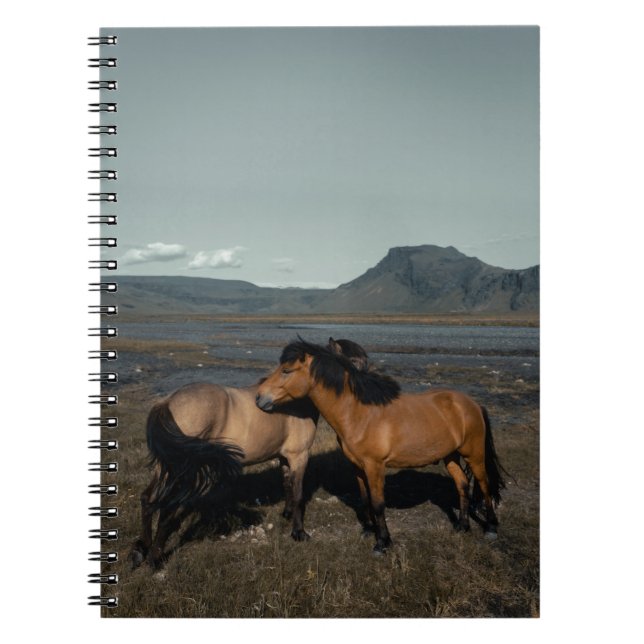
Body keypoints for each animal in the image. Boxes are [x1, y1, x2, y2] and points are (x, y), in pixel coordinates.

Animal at [130, 338, 369, 569]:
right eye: (355, 363)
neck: (296, 403)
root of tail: (168, 402)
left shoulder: (284, 457)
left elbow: (287, 486)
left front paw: (287, 514)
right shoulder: (299, 456)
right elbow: (298, 493)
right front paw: (299, 532)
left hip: (167, 467)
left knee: (148, 500)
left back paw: (141, 550)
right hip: (186, 472)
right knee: (166, 510)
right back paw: (155, 558)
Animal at [256, 339, 507, 554]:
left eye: (286, 370)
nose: (259, 397)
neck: (359, 413)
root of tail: (472, 404)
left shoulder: (375, 466)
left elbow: (378, 503)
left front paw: (383, 543)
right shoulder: (358, 466)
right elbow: (365, 498)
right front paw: (369, 531)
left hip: (474, 455)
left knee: (484, 485)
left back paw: (491, 528)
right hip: (451, 456)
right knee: (462, 485)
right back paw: (462, 526)